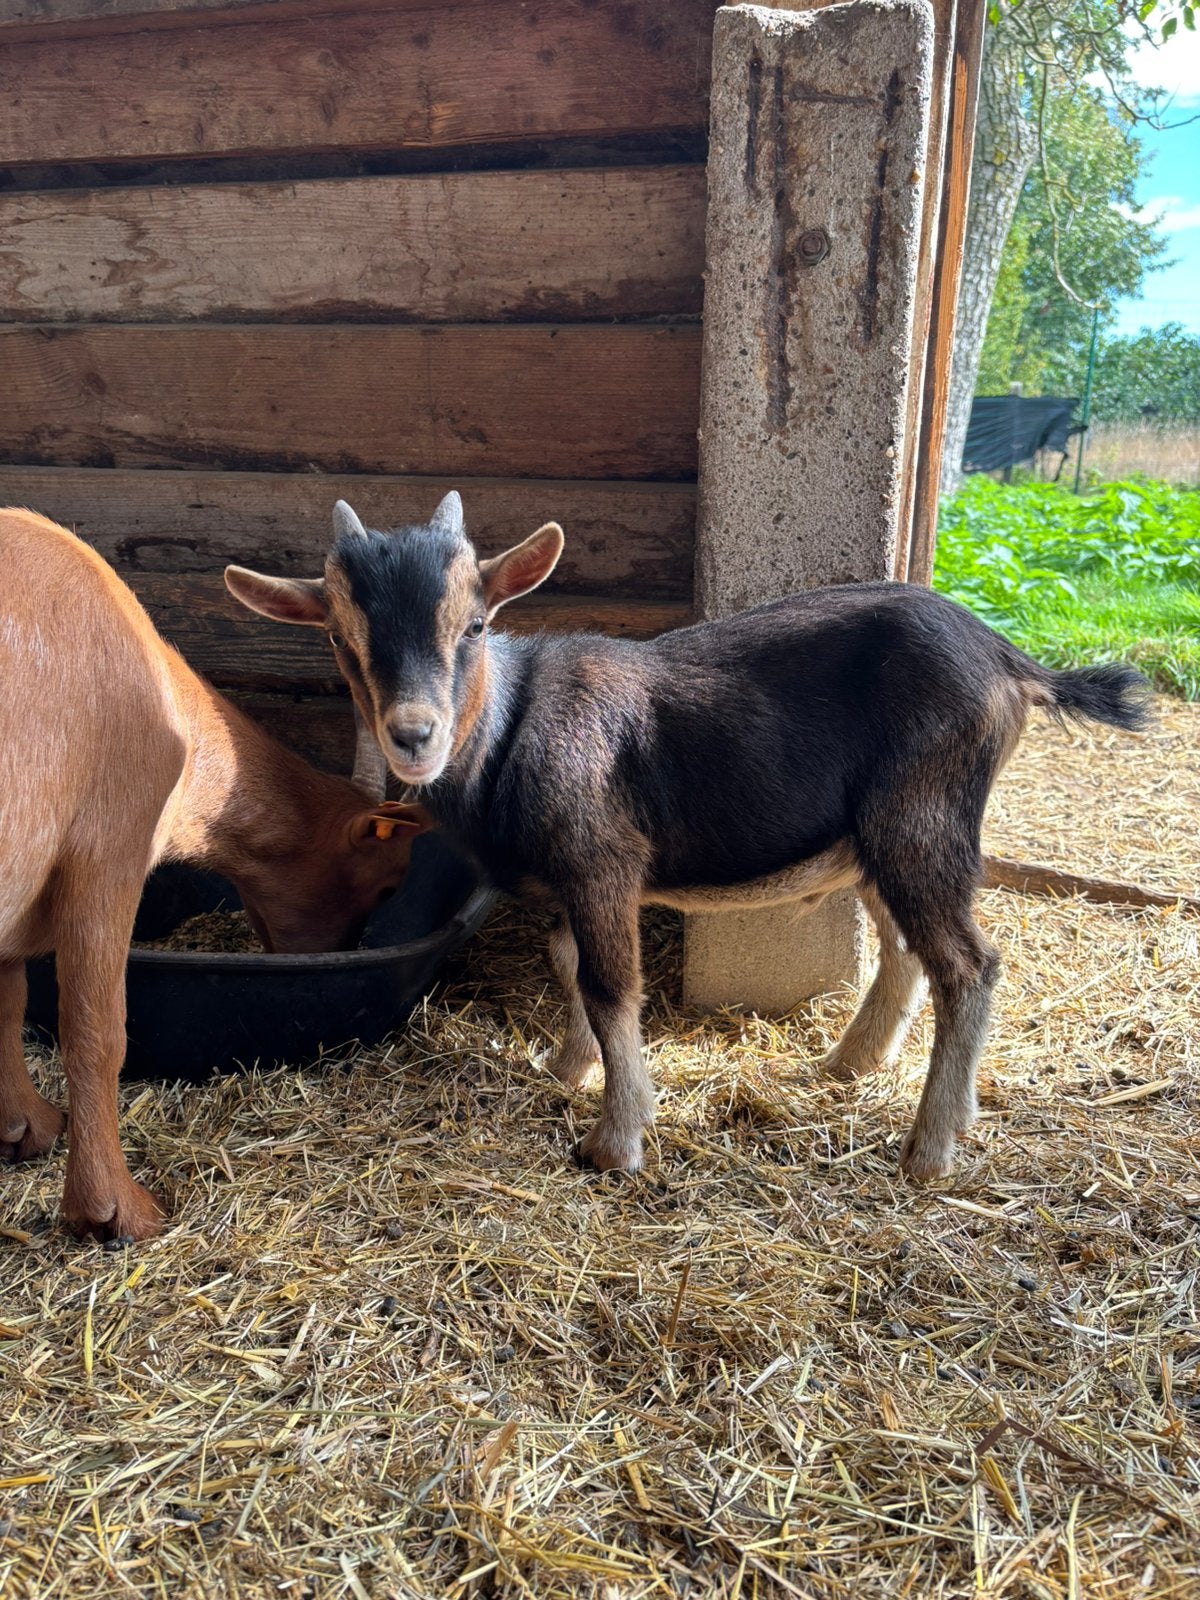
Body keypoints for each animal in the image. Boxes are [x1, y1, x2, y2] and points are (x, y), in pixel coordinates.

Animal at [0, 509, 429, 1241]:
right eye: (385, 885)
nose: (336, 953)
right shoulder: (107, 849)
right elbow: (95, 1032)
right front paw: (111, 1207)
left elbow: (8, 1002)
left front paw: (24, 1126)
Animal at [226, 492, 1148, 1182]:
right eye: (341, 639)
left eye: (477, 625)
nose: (413, 735)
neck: (513, 727)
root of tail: (1010, 660)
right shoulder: (567, 881)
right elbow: (566, 966)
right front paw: (565, 1069)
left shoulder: (602, 859)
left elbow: (610, 988)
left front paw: (615, 1140)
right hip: (882, 837)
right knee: (907, 948)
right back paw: (852, 1065)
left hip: (923, 814)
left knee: (969, 962)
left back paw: (930, 1147)